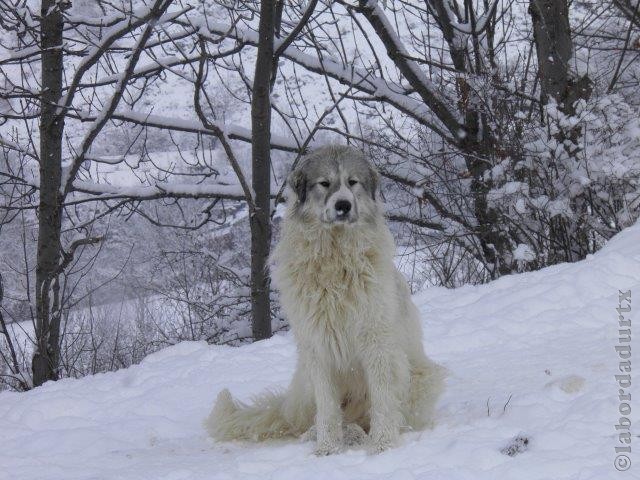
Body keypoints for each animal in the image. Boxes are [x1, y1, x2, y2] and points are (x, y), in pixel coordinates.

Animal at [208, 145, 442, 454]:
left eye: (353, 182)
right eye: (324, 183)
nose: (343, 205)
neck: (335, 257)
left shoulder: (377, 342)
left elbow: (383, 400)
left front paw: (382, 445)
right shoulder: (317, 345)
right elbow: (328, 409)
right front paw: (328, 449)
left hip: (420, 377)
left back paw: (361, 434)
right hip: (305, 375)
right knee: (314, 419)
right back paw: (325, 434)